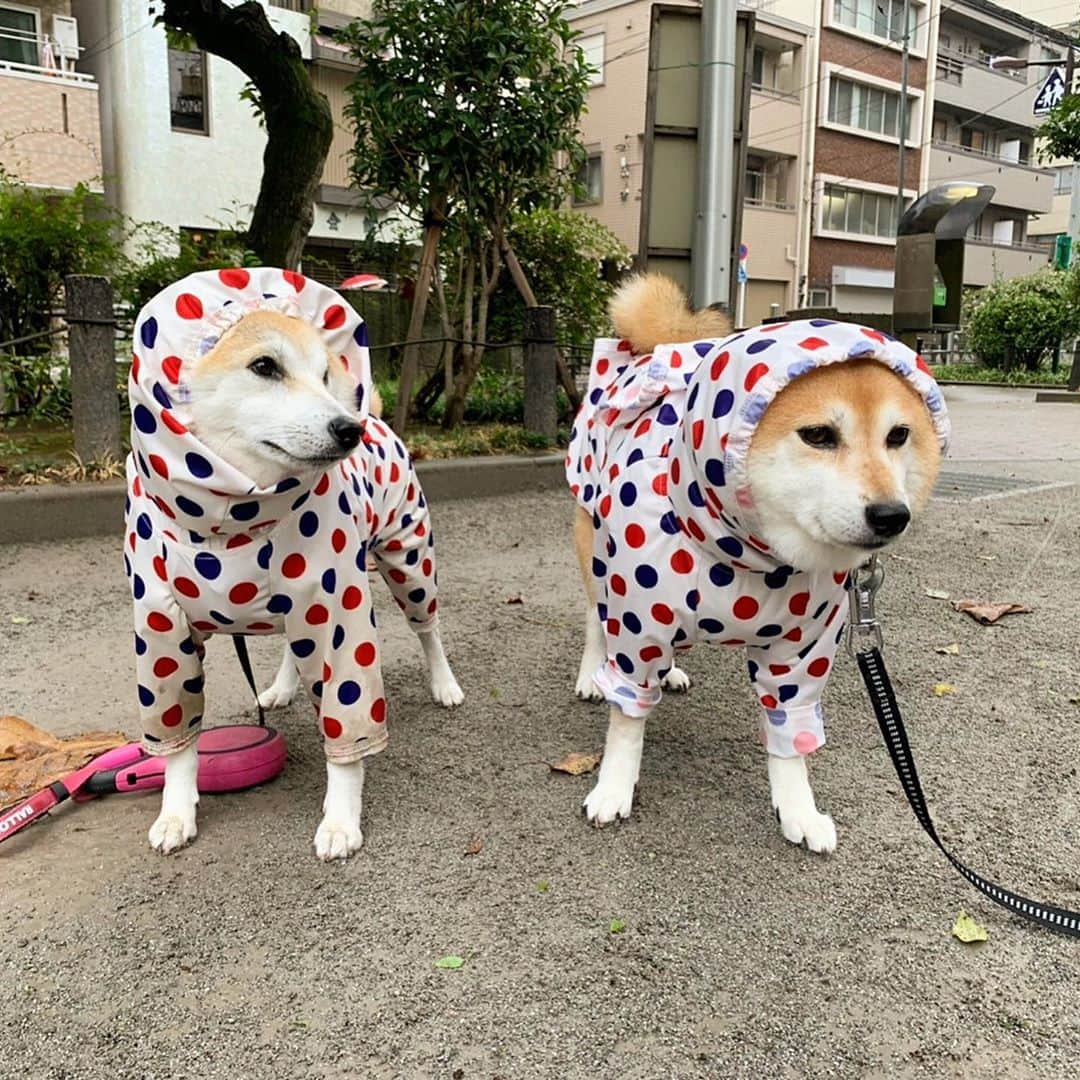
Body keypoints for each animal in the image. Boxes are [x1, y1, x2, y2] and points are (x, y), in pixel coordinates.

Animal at [127, 267, 464, 859]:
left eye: (327, 374)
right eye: (265, 366)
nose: (348, 429)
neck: (231, 524)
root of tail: (380, 420)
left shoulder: (337, 619)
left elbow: (346, 731)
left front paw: (341, 819)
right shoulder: (162, 628)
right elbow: (177, 738)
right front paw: (175, 811)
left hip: (410, 562)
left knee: (429, 629)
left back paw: (444, 684)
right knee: (289, 640)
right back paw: (282, 687)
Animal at [565, 272, 946, 851]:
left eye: (898, 436)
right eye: (818, 435)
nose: (890, 515)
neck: (750, 557)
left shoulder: (800, 654)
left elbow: (790, 736)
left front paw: (798, 810)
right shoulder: (637, 628)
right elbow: (626, 723)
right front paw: (613, 787)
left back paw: (674, 672)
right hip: (596, 555)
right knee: (594, 617)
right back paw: (593, 673)